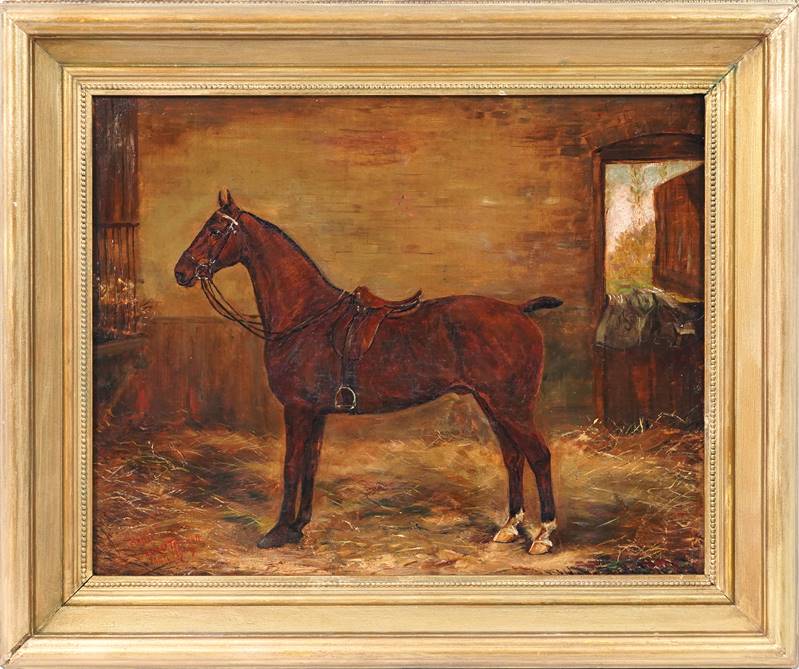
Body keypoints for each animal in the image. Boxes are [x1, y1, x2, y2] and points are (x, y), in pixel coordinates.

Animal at [174, 190, 563, 555]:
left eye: (215, 230)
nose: (181, 271)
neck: (306, 316)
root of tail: (519, 310)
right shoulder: (315, 413)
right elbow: (310, 464)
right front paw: (299, 525)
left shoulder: (297, 410)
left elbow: (291, 466)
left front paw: (279, 531)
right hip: (492, 405)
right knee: (513, 457)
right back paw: (510, 527)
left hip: (511, 406)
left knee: (539, 457)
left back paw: (544, 535)